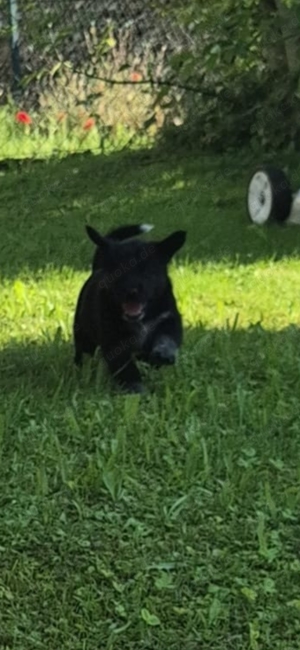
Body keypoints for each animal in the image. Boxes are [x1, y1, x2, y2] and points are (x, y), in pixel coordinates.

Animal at [73, 223, 185, 390]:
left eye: (147, 271)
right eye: (117, 269)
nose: (131, 291)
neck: (141, 319)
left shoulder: (168, 318)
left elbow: (167, 338)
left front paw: (163, 353)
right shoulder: (114, 339)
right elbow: (126, 368)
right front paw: (136, 389)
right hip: (83, 332)